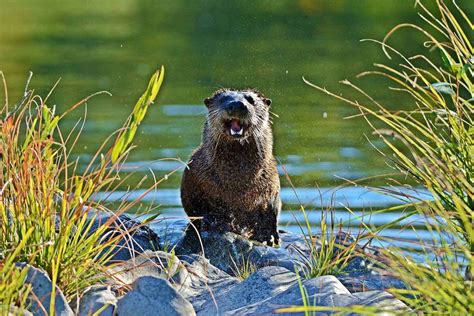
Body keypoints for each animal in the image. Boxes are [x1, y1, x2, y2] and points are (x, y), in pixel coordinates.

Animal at [180, 88, 280, 244]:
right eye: (223, 99)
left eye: (251, 100)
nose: (238, 104)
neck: (236, 184)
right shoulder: (194, 177)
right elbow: (196, 209)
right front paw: (211, 221)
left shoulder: (272, 183)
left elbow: (271, 211)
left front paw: (268, 236)